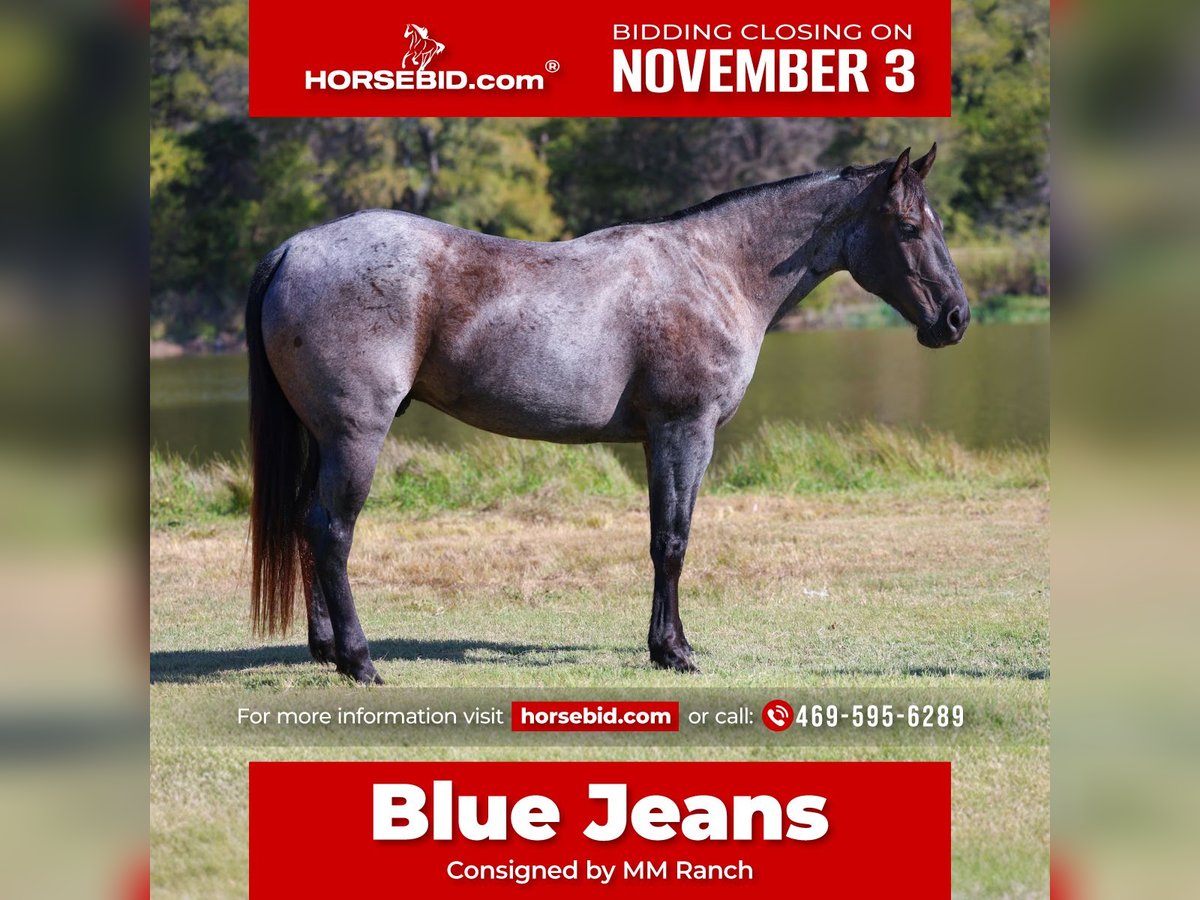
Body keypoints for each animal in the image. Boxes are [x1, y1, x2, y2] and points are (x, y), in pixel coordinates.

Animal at [245, 145, 969, 684]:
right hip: (355, 435)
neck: (713, 271)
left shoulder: (658, 441)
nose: (957, 318)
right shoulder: (684, 432)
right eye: (910, 228)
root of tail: (294, 249)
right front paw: (675, 651)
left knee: (307, 522)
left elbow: (660, 538)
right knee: (333, 530)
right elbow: (672, 542)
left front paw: (663, 644)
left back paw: (326, 650)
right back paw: (360, 661)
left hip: (324, 438)